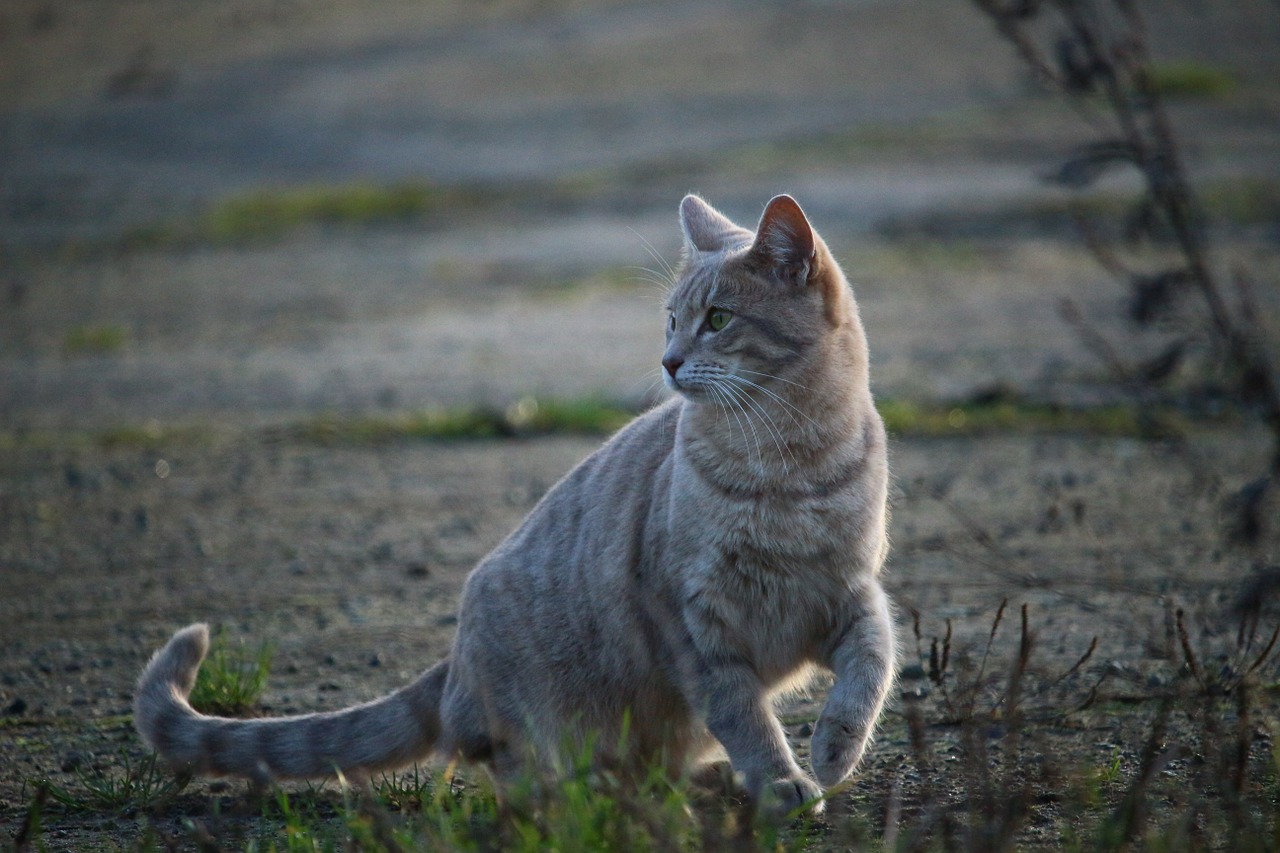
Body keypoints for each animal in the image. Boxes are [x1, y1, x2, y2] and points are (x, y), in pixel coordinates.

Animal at [127, 190, 890, 809]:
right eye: (672, 320)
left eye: (720, 318)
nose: (670, 361)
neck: (789, 467)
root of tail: (456, 657)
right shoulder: (694, 624)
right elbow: (744, 714)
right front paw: (782, 779)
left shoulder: (850, 594)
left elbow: (872, 667)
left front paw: (833, 750)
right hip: (532, 700)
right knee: (516, 763)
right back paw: (572, 793)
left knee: (654, 762)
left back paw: (703, 778)